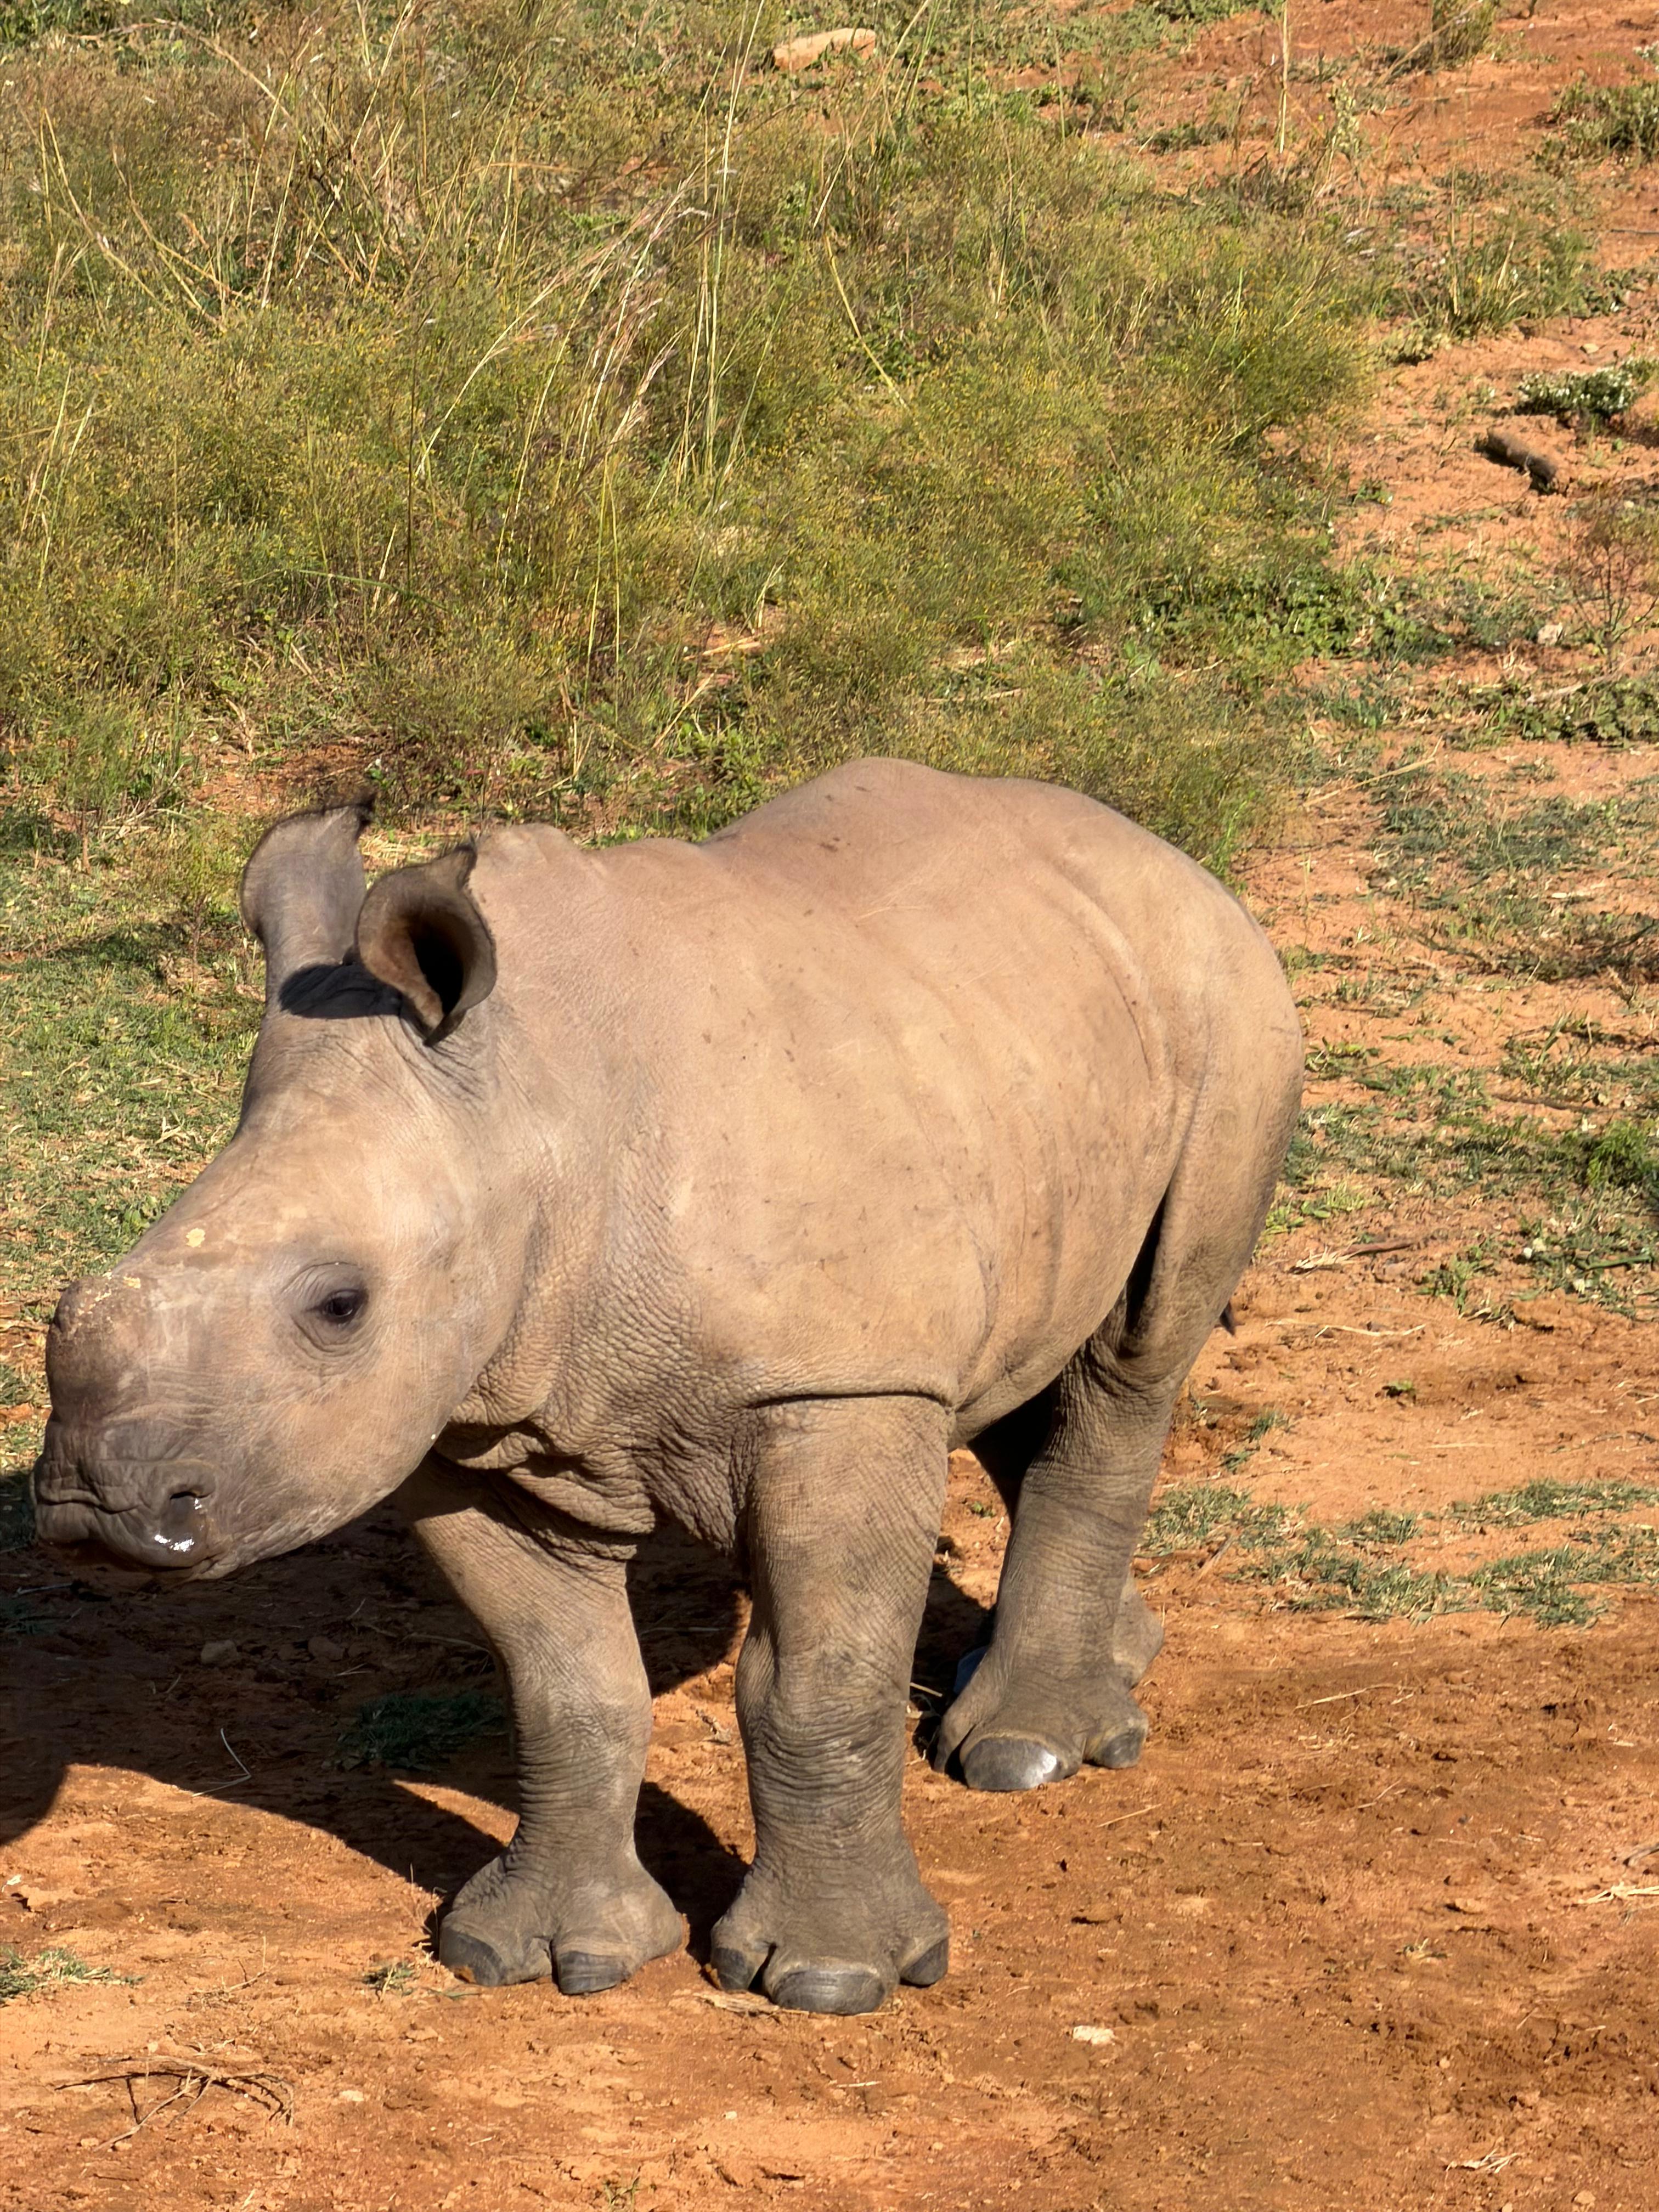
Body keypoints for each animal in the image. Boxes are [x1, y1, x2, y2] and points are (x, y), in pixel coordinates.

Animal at [34, 760, 1302, 2016]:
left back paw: (1024, 1756)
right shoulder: (467, 1418)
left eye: (339, 1306)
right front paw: (538, 1959)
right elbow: (564, 1685)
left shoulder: (832, 1388)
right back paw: (1110, 1659)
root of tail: (1155, 850)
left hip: (1227, 998)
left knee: (1130, 1355)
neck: (527, 1108)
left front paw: (831, 1982)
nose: (102, 1507)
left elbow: (818, 1681)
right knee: (1029, 1357)